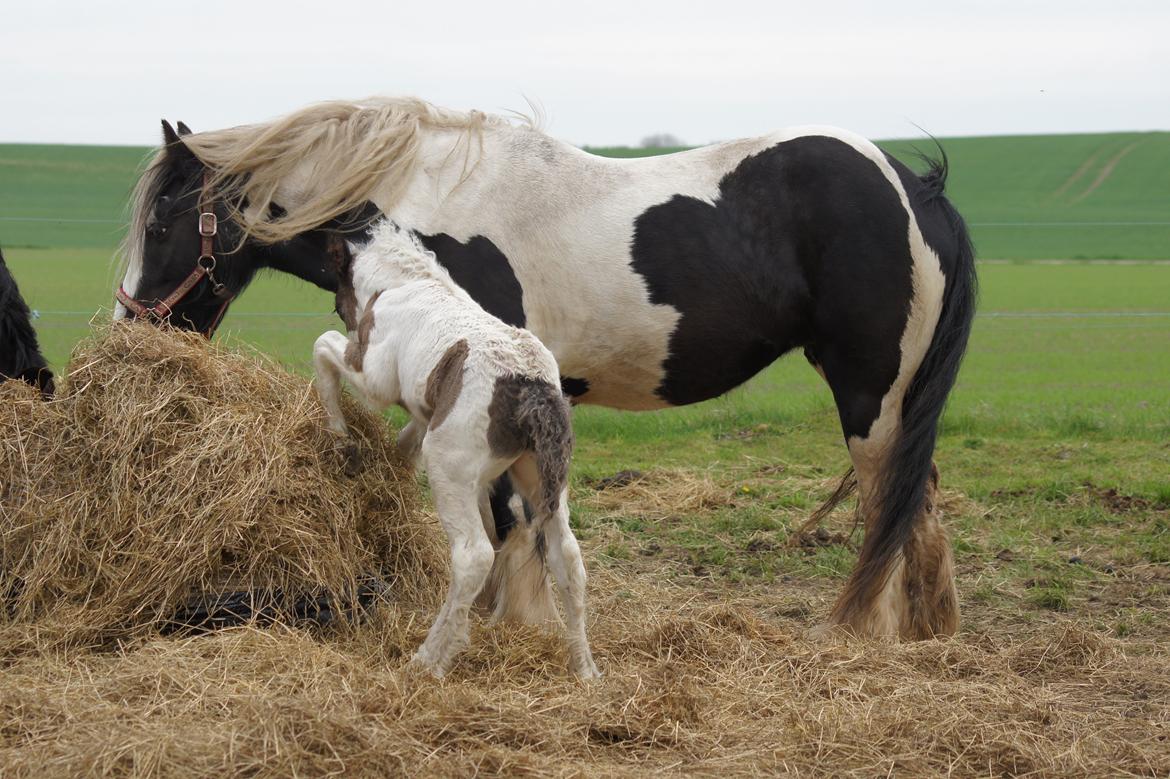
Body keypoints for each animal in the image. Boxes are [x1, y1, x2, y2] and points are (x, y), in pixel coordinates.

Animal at [311, 218, 599, 673]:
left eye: (341, 302)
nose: (351, 323)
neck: (404, 285)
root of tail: (532, 388)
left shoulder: (374, 377)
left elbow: (323, 347)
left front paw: (340, 434)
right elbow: (407, 436)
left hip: (449, 467)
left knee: (474, 556)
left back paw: (429, 658)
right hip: (541, 479)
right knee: (568, 559)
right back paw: (584, 667)